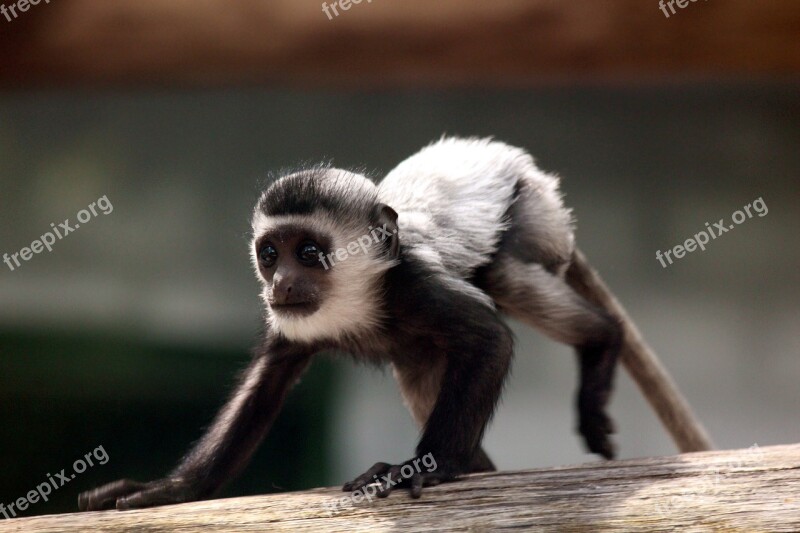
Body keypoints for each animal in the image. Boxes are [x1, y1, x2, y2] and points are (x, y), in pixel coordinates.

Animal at [78, 135, 620, 510]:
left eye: (308, 252)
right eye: (270, 255)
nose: (281, 284)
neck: (357, 297)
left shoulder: (414, 285)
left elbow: (489, 339)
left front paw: (423, 467)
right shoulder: (288, 322)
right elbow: (266, 382)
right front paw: (169, 489)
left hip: (535, 213)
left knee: (504, 277)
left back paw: (603, 340)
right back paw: (482, 466)